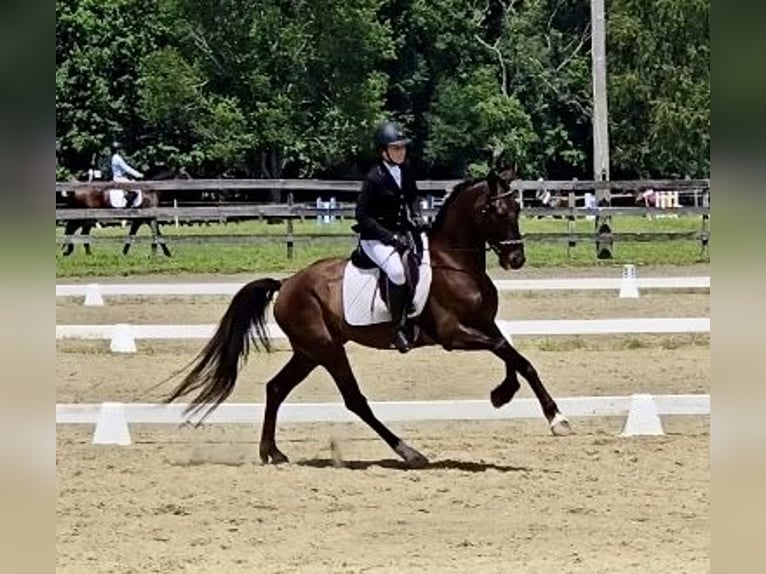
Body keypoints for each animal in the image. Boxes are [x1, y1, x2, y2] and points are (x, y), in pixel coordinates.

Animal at [59, 166, 191, 257]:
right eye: (184, 175)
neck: (151, 191)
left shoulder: (141, 220)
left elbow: (133, 235)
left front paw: (125, 252)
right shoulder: (150, 218)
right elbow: (156, 234)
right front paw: (157, 254)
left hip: (87, 219)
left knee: (80, 232)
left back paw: (85, 253)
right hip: (85, 217)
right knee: (71, 229)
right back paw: (69, 250)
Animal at [165, 167, 571, 468]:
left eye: (517, 210)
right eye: (495, 212)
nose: (516, 259)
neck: (455, 264)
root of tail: (287, 283)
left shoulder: (484, 324)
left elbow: (515, 356)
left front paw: (504, 395)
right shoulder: (455, 335)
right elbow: (510, 352)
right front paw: (555, 419)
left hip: (309, 352)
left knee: (276, 388)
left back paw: (273, 453)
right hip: (327, 350)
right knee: (354, 401)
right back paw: (409, 452)